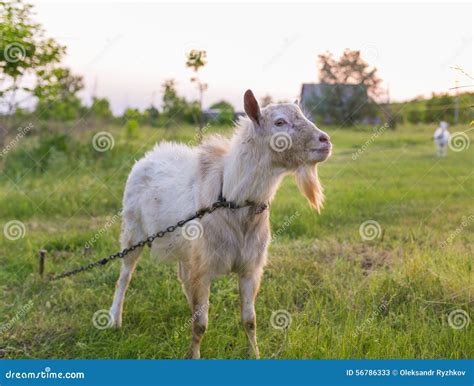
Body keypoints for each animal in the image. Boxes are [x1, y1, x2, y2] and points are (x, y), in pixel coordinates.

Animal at [110, 89, 334, 358]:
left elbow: (250, 320)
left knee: (183, 276)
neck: (230, 199)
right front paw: (193, 356)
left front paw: (254, 354)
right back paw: (115, 319)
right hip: (133, 230)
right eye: (280, 122)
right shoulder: (204, 266)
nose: (325, 140)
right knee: (125, 275)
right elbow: (200, 324)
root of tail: (149, 156)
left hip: (186, 249)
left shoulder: (249, 268)